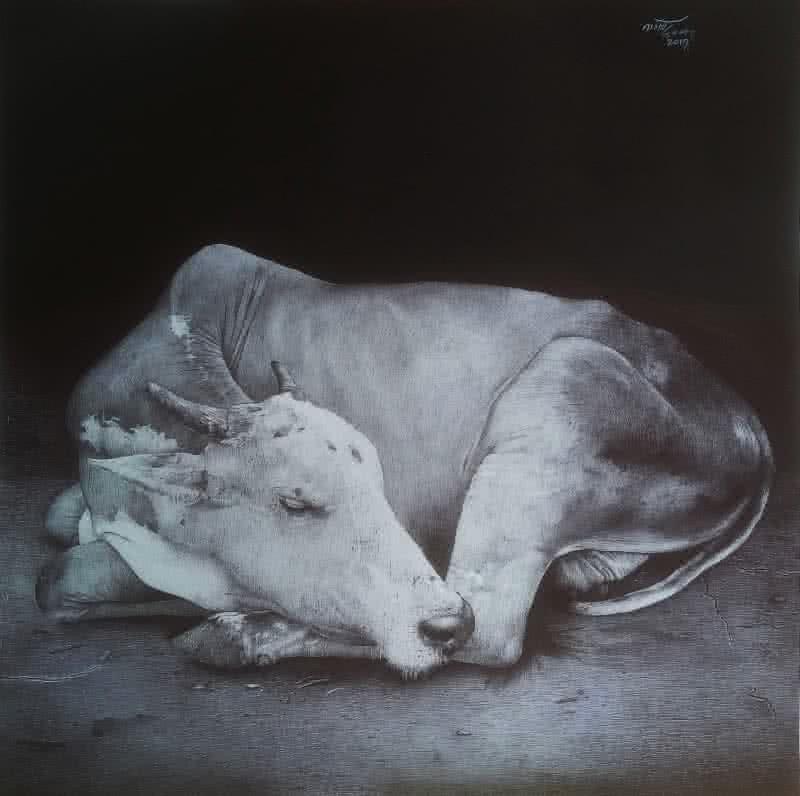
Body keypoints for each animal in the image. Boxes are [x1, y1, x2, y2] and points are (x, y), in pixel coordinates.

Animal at [36, 244, 773, 678]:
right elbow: (56, 533)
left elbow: (64, 575)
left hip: (557, 398)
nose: (438, 618)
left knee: (489, 630)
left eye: (380, 485)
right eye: (295, 500)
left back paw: (230, 638)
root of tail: (747, 420)